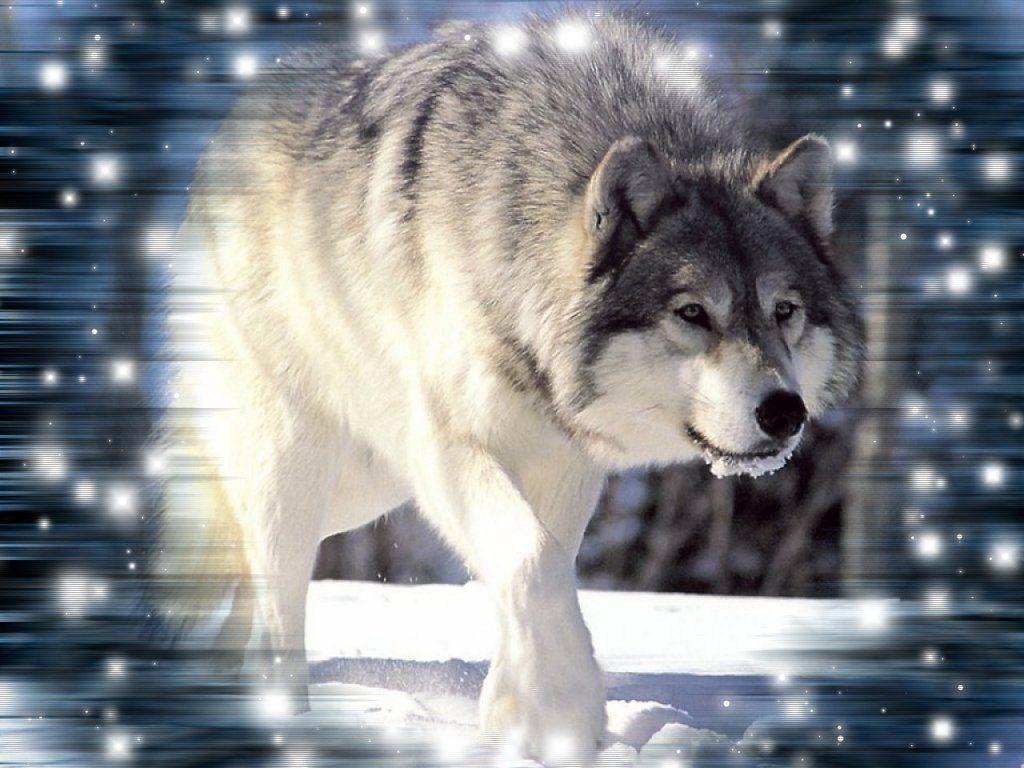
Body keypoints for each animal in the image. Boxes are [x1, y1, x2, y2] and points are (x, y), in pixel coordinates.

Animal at [161, 12, 861, 765]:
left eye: (783, 311)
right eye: (694, 313)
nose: (785, 413)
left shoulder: (564, 459)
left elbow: (539, 566)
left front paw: (511, 714)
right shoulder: (446, 446)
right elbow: (531, 560)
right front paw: (564, 707)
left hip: (363, 487)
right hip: (298, 468)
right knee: (276, 615)